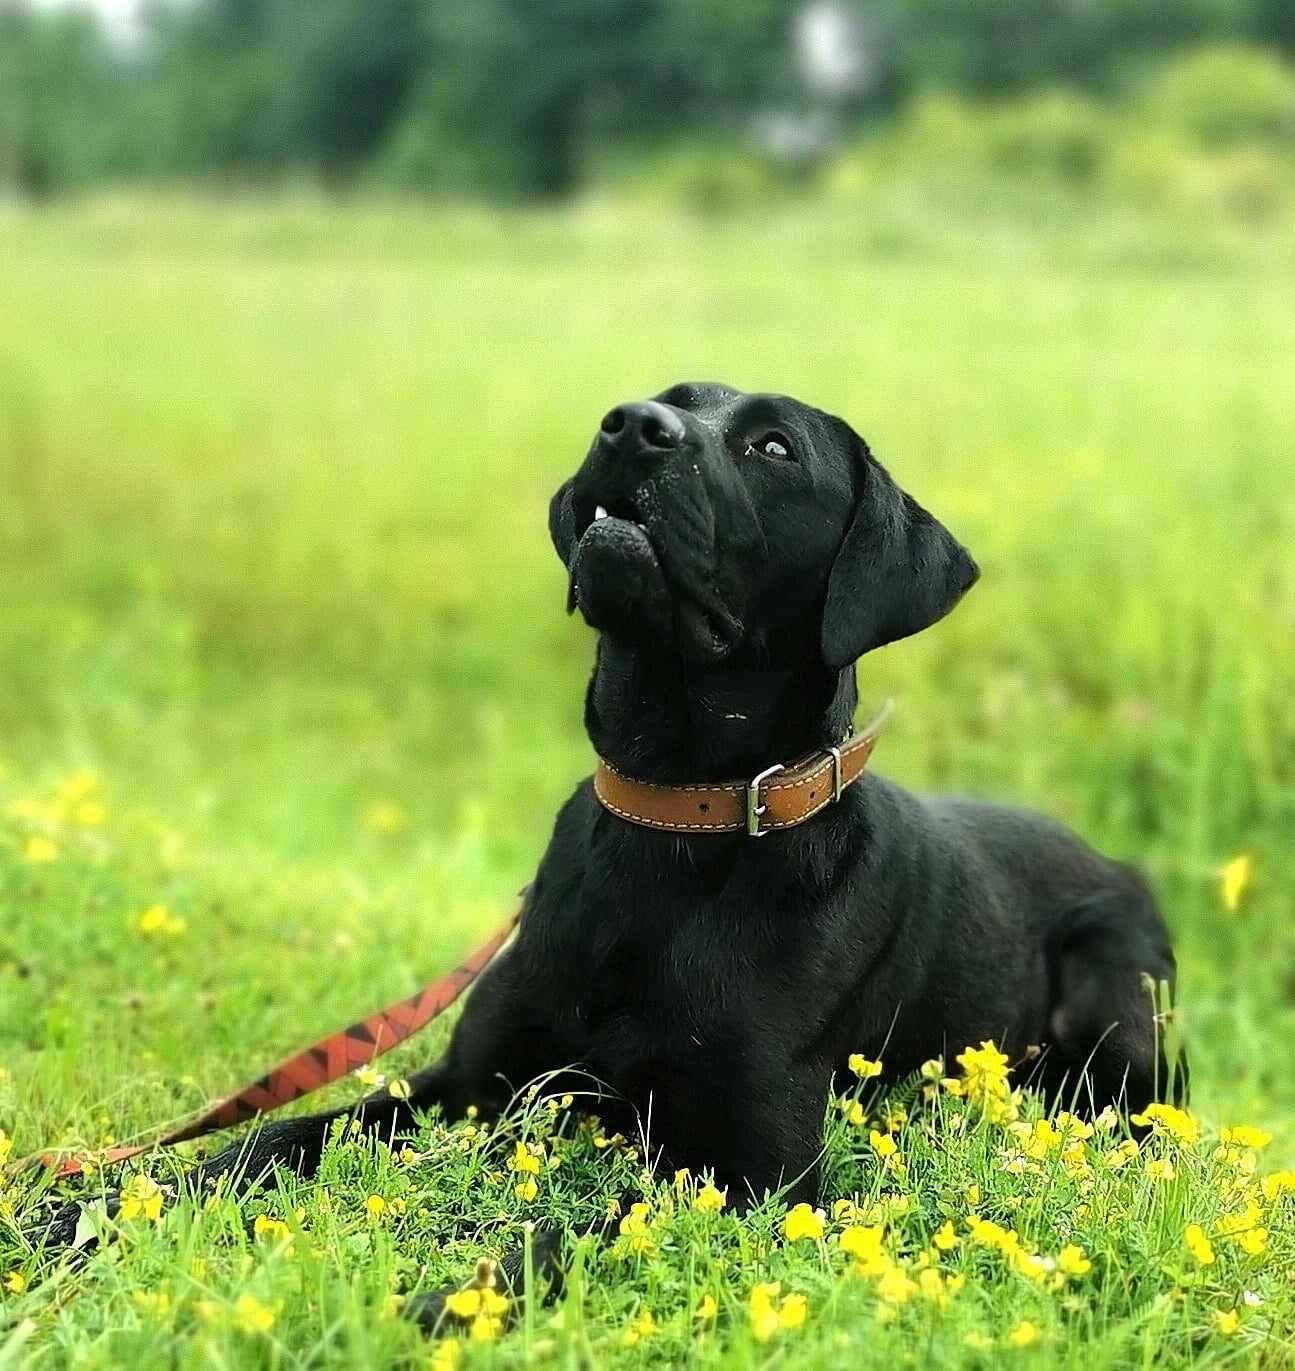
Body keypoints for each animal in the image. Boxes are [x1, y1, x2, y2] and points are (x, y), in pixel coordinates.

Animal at [40, 381, 1178, 1288]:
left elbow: (573, 1226)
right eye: (673, 396)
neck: (676, 819)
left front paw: (448, 1299)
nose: (632, 425)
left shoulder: (754, 1172)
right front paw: (72, 1216)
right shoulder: (466, 1086)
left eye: (774, 447)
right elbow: (271, 1139)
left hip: (1113, 1012)